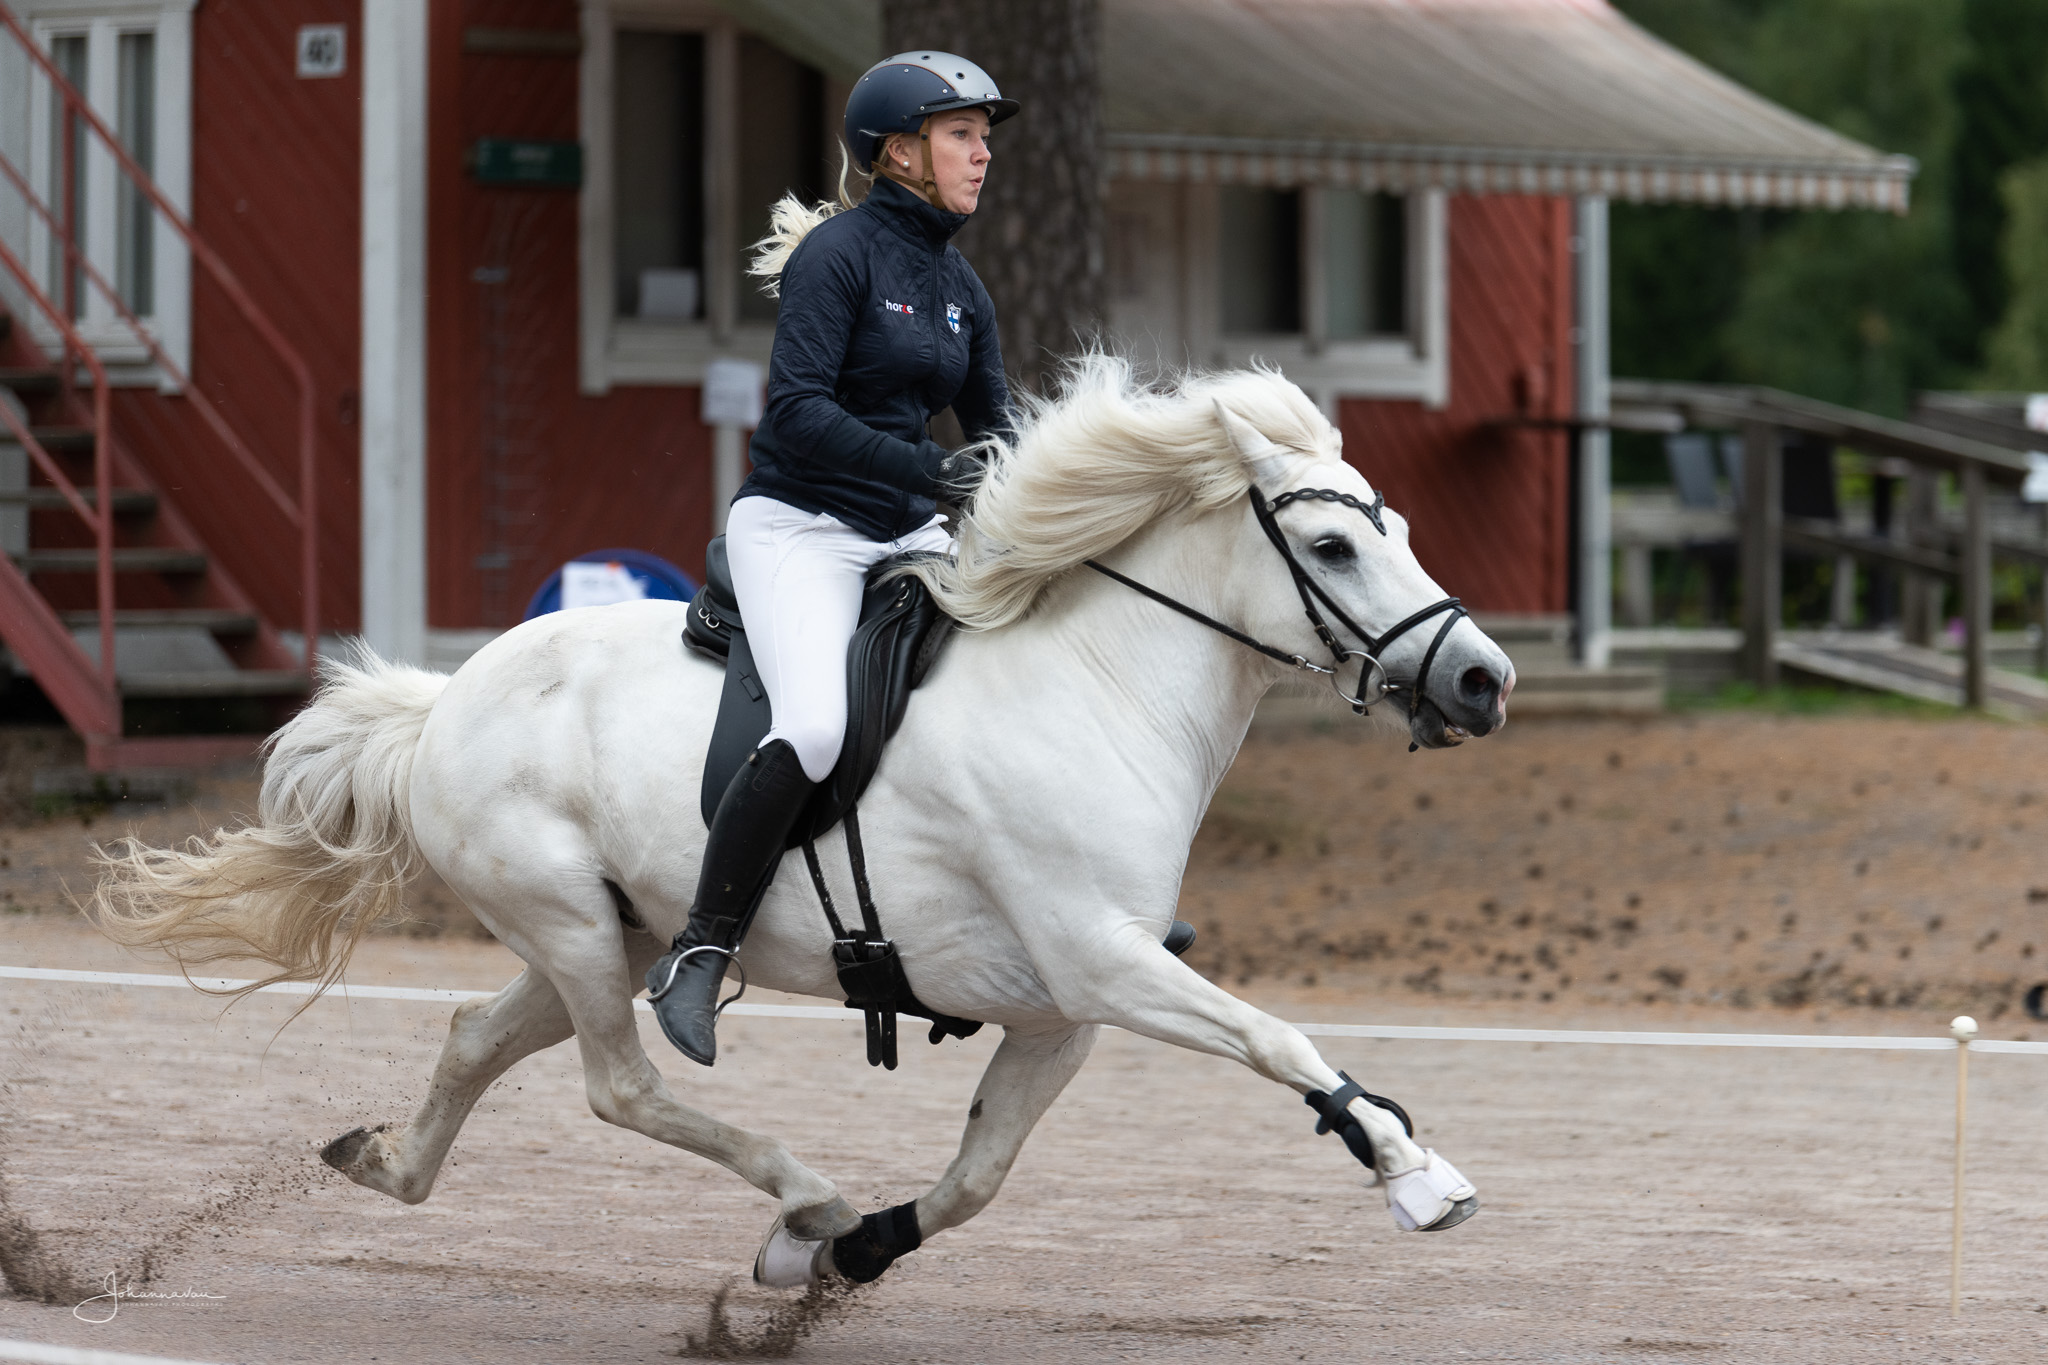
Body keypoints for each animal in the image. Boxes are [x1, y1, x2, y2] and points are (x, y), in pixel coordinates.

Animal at [88, 358, 1515, 1285]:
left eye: (1392, 527)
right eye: (1332, 551)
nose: (1481, 680)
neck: (1095, 684)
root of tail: (446, 698)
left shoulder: (1063, 1007)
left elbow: (978, 1173)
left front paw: (855, 1257)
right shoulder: (1103, 963)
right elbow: (1277, 1040)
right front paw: (1413, 1174)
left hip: (603, 934)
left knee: (473, 1038)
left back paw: (391, 1165)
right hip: (569, 924)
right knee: (621, 1084)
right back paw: (803, 1190)